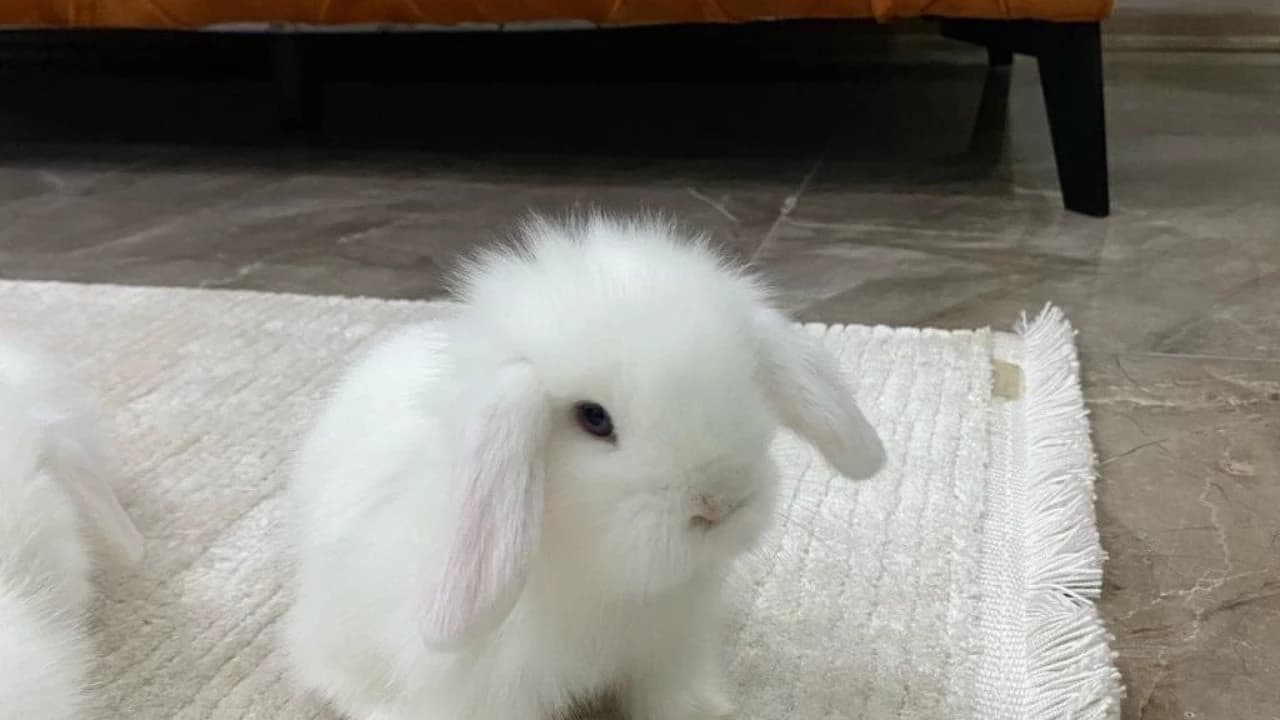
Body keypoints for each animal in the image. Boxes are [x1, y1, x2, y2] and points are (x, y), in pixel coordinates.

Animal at [283, 214, 885, 720]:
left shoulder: (668, 653)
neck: (606, 581)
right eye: (594, 419)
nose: (718, 504)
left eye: (748, 381)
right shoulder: (488, 687)